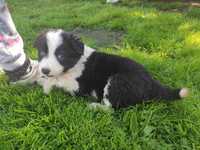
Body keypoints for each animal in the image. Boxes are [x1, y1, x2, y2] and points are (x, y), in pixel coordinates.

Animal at [34, 29, 189, 109]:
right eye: (41, 53)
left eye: (61, 55)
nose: (45, 70)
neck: (76, 62)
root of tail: (152, 82)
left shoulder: (79, 87)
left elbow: (59, 80)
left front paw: (47, 83)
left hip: (116, 81)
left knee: (112, 108)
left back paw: (95, 106)